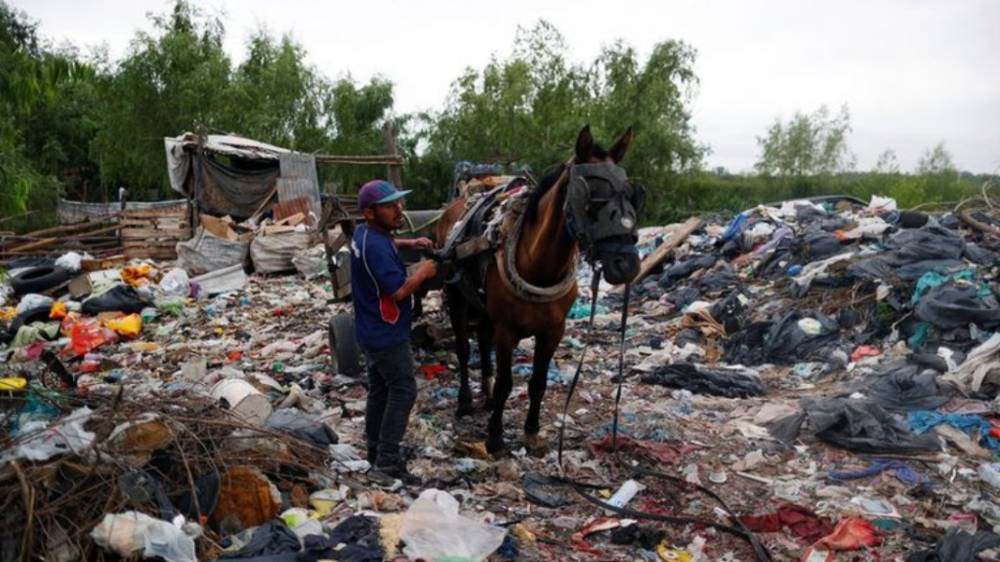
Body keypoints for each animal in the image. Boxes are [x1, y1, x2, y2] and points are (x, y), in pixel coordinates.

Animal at [436, 124, 640, 452]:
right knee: (465, 350)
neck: (538, 264)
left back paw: (486, 397)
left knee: (482, 340)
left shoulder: (553, 331)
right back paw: (465, 401)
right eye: (591, 195)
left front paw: (531, 429)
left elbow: (538, 382)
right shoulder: (506, 330)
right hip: (457, 298)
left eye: (632, 194)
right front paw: (495, 435)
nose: (627, 265)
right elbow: (507, 382)